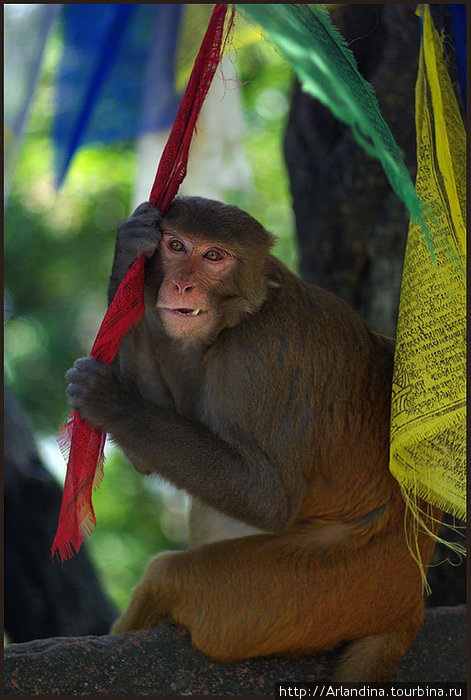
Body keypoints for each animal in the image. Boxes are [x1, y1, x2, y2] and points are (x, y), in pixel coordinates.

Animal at [64, 198, 440, 684]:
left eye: (213, 257)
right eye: (176, 246)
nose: (182, 285)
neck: (247, 311)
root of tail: (409, 604)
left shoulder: (259, 356)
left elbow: (267, 497)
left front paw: (109, 402)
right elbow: (154, 448)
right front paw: (129, 252)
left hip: (316, 590)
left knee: (170, 575)